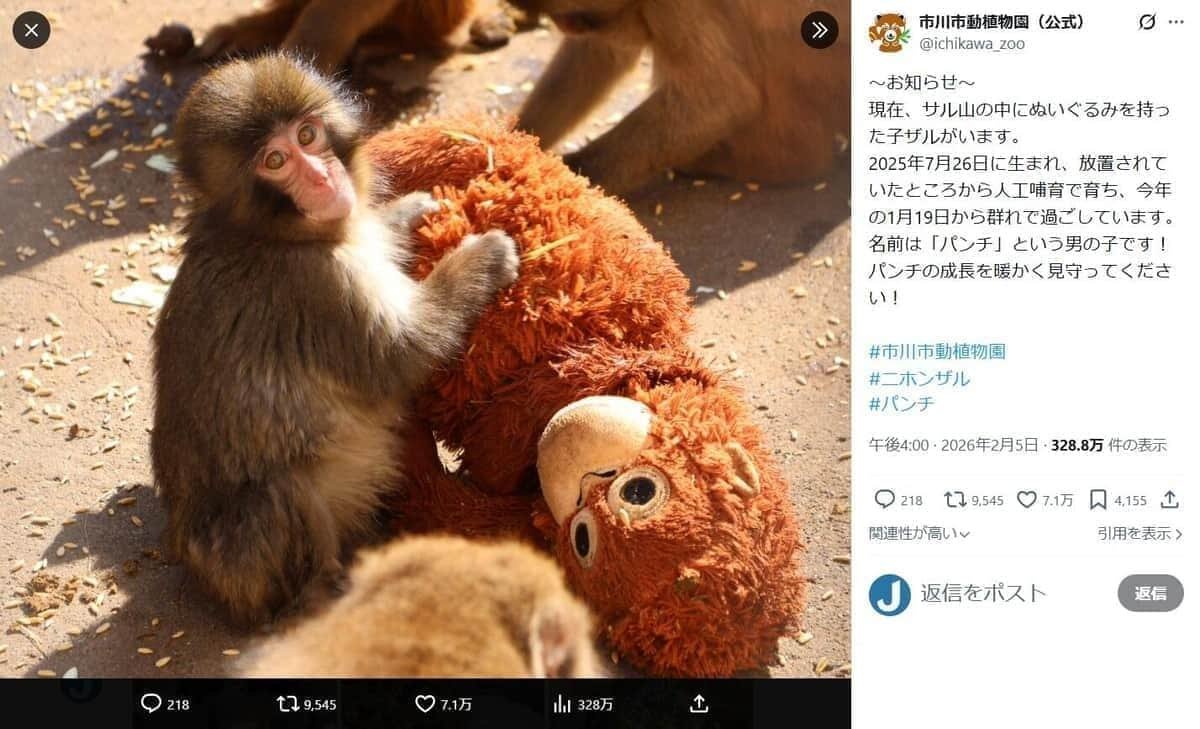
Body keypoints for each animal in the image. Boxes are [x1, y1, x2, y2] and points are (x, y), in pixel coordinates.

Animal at [151, 53, 520, 628]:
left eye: (308, 135)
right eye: (276, 160)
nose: (323, 177)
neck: (272, 233)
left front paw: (406, 212)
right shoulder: (319, 287)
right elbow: (401, 356)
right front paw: (481, 259)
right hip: (245, 564)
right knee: (280, 492)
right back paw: (323, 591)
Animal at [510, 0, 850, 195]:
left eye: (573, 17)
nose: (564, 25)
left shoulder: (675, 4)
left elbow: (721, 97)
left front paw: (564, 181)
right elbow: (603, 51)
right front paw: (514, 138)